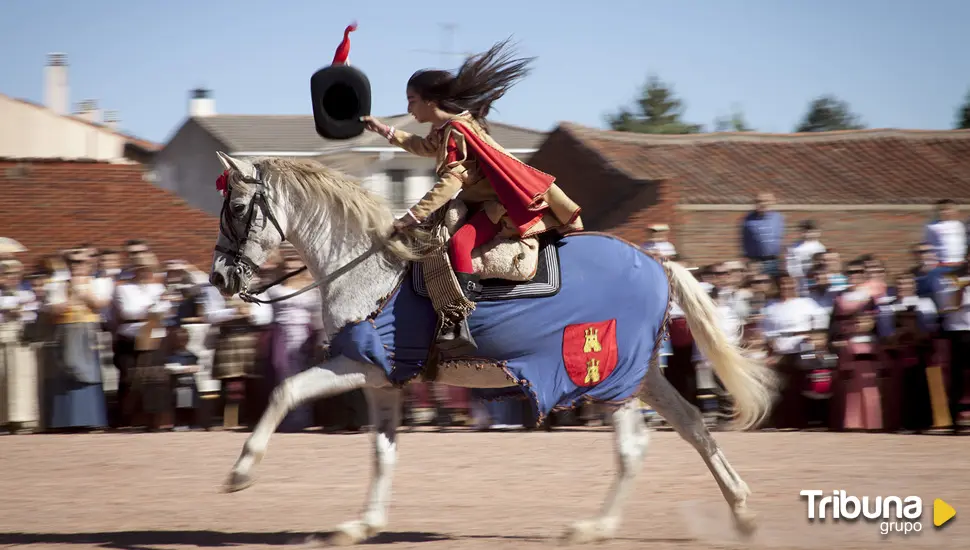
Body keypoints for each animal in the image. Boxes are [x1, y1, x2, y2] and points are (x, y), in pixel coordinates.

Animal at [208, 153, 776, 544]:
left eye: (236, 208)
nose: (217, 277)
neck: (371, 266)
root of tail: (659, 264)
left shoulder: (359, 361)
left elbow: (285, 391)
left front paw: (240, 473)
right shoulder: (384, 378)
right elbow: (383, 452)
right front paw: (362, 524)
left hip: (608, 376)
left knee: (634, 446)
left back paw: (594, 528)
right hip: (644, 375)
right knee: (693, 426)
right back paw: (742, 511)